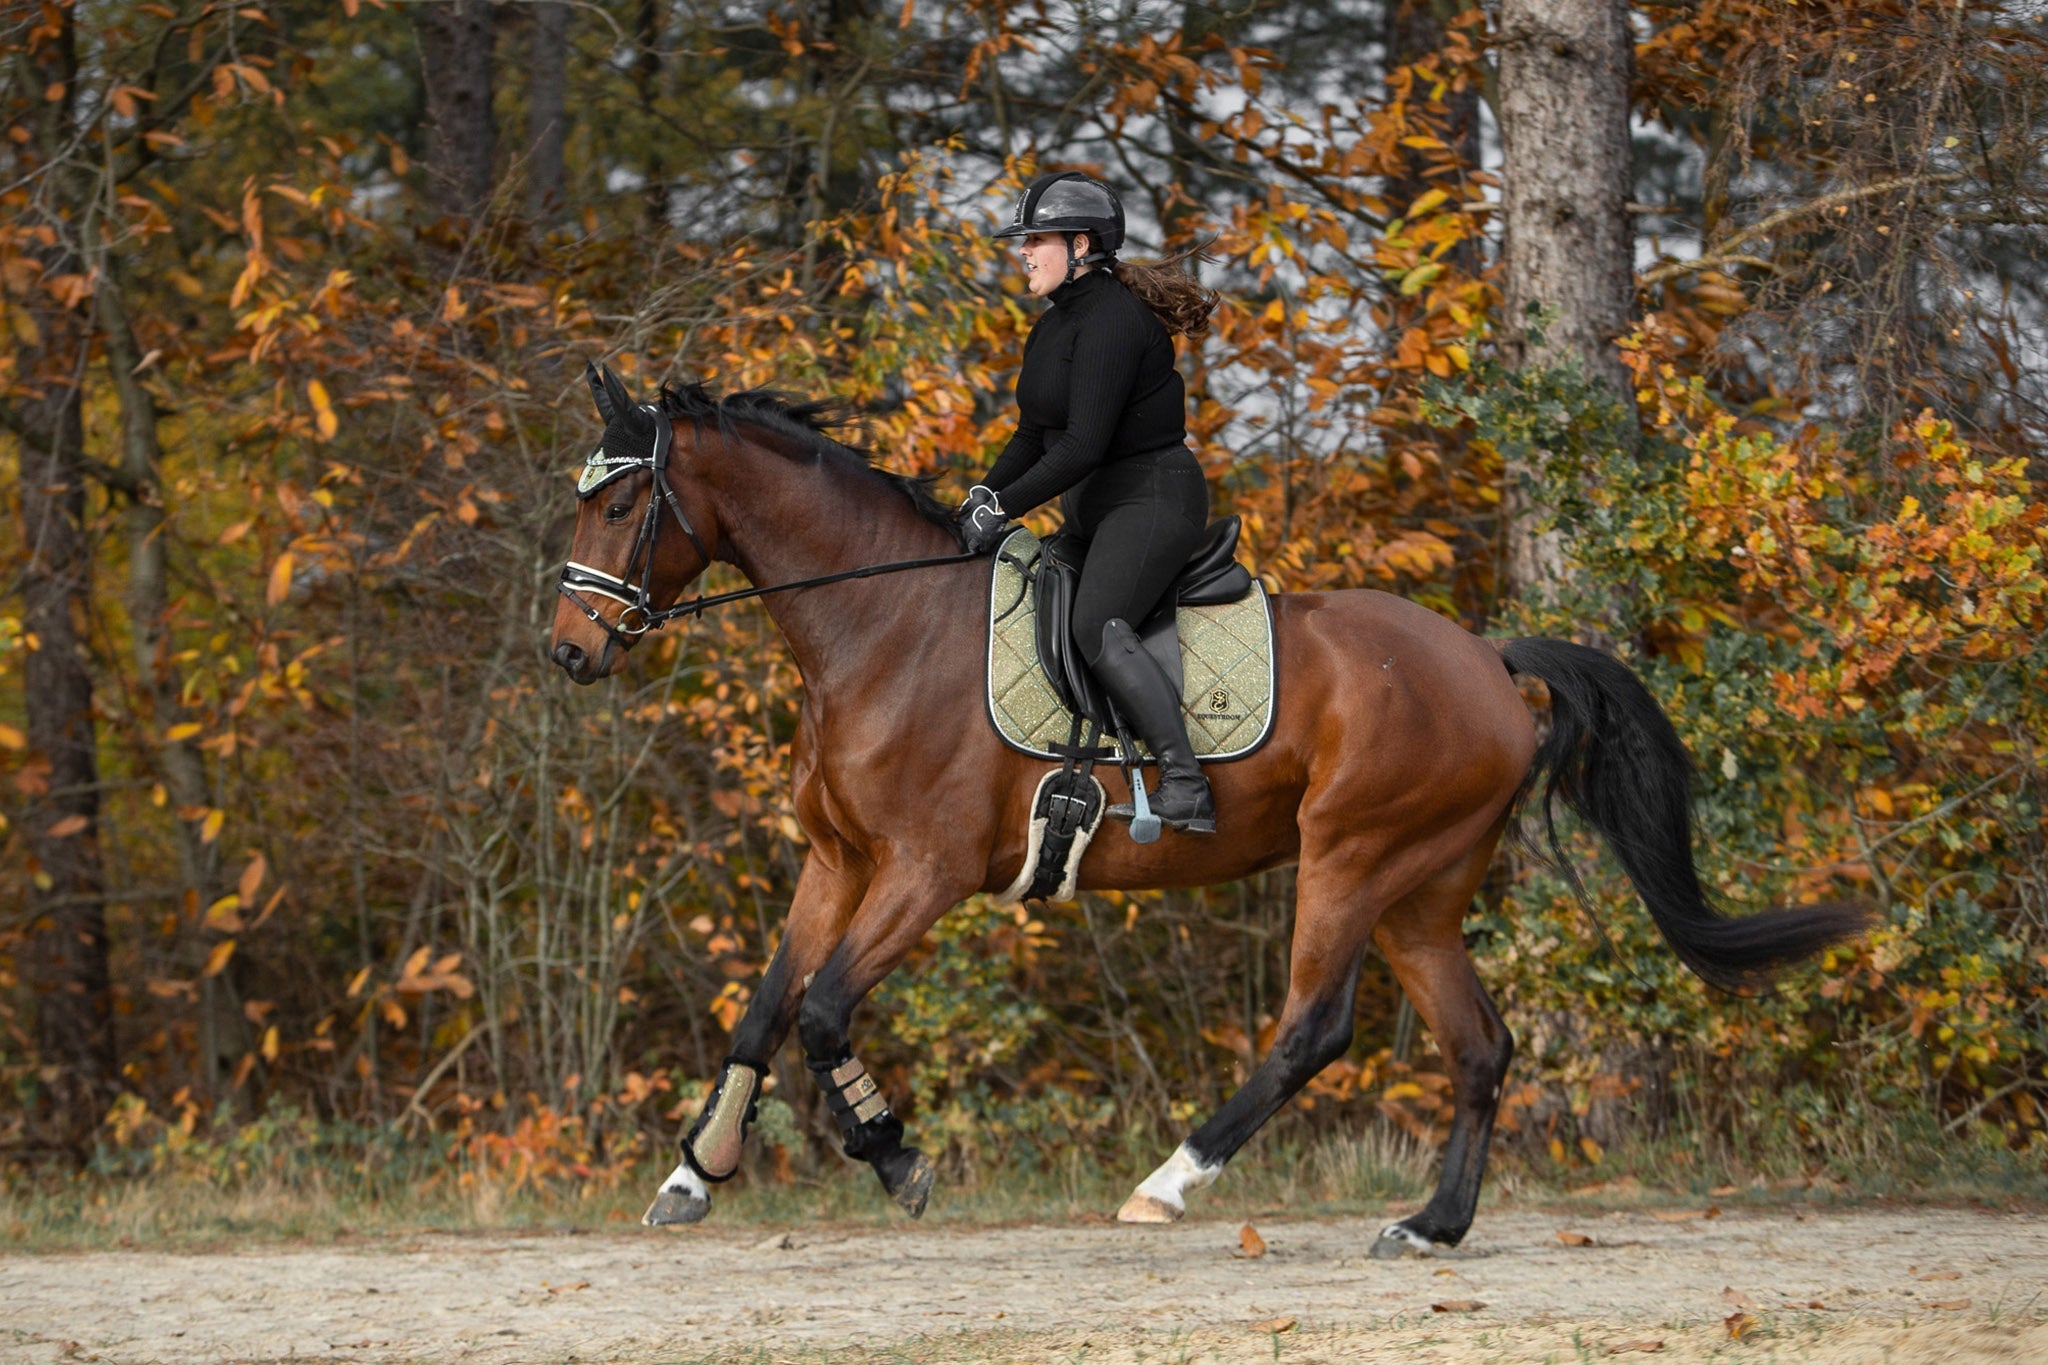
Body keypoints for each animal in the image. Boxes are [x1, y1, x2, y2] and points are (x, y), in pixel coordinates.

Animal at [552, 366, 1867, 1260]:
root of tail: (1490, 662)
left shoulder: (926, 869)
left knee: (1310, 1031)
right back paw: (1429, 1226)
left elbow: (823, 1013)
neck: (879, 627)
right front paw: (696, 1174)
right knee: (1478, 1046)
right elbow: (763, 1012)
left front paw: (895, 1156)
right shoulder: (834, 862)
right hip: (1421, 889)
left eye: (620, 510)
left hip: (1350, 857)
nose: (569, 653)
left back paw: (1169, 1182)